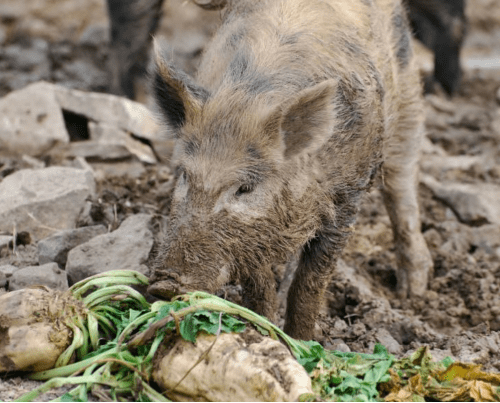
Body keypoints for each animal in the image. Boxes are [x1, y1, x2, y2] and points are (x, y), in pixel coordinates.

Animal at [146, 0, 434, 340]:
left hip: (407, 94)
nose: (165, 284)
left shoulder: (348, 197)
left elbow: (311, 282)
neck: (248, 101)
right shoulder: (254, 234)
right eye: (184, 175)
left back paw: (412, 292)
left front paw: (302, 341)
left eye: (245, 188)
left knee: (403, 183)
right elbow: (258, 284)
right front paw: (264, 330)